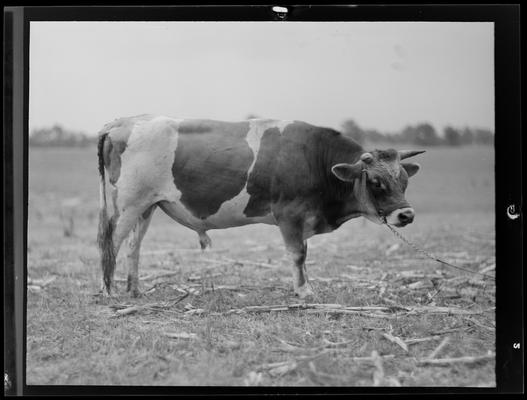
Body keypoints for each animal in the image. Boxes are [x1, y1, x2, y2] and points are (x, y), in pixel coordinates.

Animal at [96, 114, 424, 298]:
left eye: (404, 180)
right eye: (376, 182)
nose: (406, 214)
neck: (314, 158)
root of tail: (124, 122)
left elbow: (304, 256)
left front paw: (304, 285)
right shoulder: (289, 216)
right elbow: (297, 255)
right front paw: (304, 291)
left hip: (146, 206)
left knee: (133, 246)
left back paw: (134, 289)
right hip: (128, 204)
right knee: (111, 242)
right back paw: (108, 290)